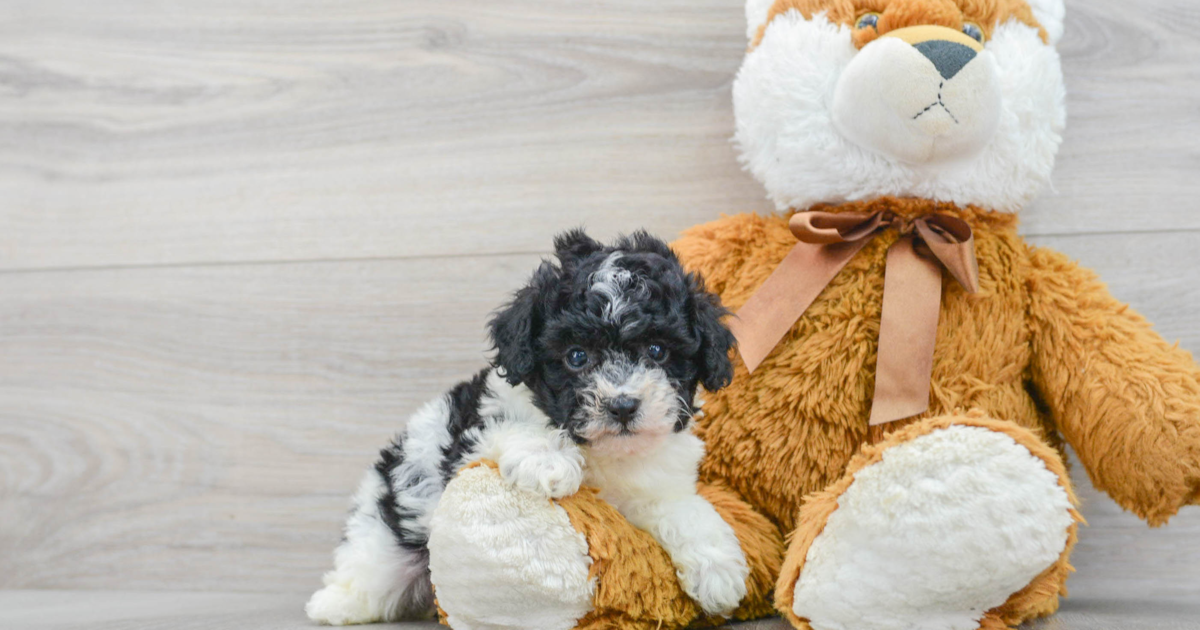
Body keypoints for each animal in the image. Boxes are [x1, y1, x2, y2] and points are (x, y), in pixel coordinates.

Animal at [304, 229, 744, 624]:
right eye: (576, 356)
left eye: (657, 351)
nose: (622, 406)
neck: (603, 453)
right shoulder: (477, 430)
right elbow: (515, 425)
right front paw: (548, 459)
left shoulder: (654, 485)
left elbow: (684, 509)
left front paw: (719, 569)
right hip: (388, 536)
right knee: (369, 568)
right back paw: (334, 604)